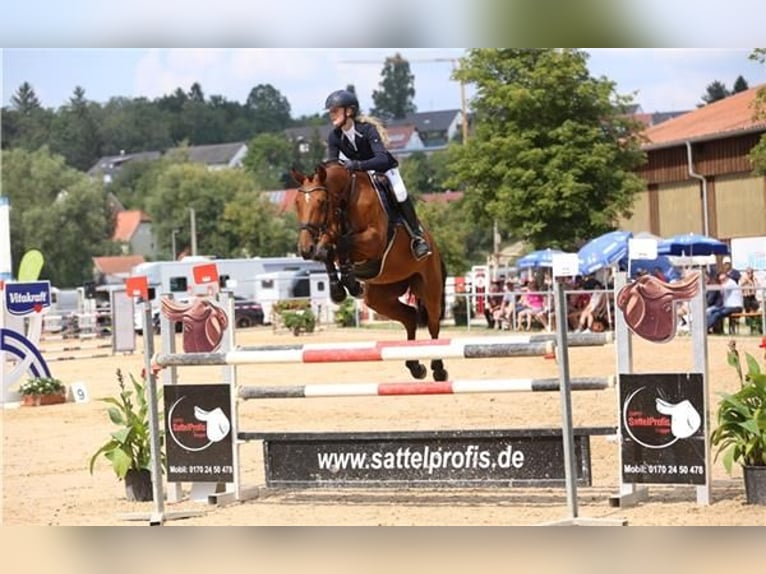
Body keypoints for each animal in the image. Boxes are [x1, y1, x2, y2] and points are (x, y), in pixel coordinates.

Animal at [290, 160, 448, 381]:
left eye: (321, 202)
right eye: (297, 203)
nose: (305, 249)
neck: (345, 199)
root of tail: (434, 245)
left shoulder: (374, 240)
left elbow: (343, 242)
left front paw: (350, 282)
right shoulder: (330, 236)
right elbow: (328, 250)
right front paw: (340, 289)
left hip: (429, 288)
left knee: (433, 323)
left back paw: (438, 369)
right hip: (380, 295)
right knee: (409, 317)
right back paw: (415, 366)